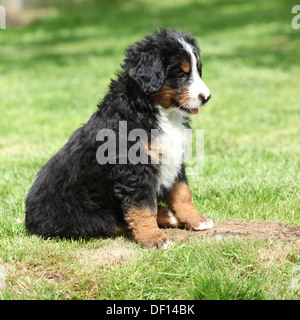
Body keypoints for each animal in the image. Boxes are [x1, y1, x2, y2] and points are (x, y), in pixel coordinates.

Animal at [25, 28, 213, 249]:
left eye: (198, 71)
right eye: (182, 75)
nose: (207, 97)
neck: (155, 111)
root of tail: (30, 222)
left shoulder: (174, 156)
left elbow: (182, 192)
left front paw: (196, 219)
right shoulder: (133, 169)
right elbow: (143, 208)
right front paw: (154, 238)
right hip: (87, 216)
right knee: (116, 222)